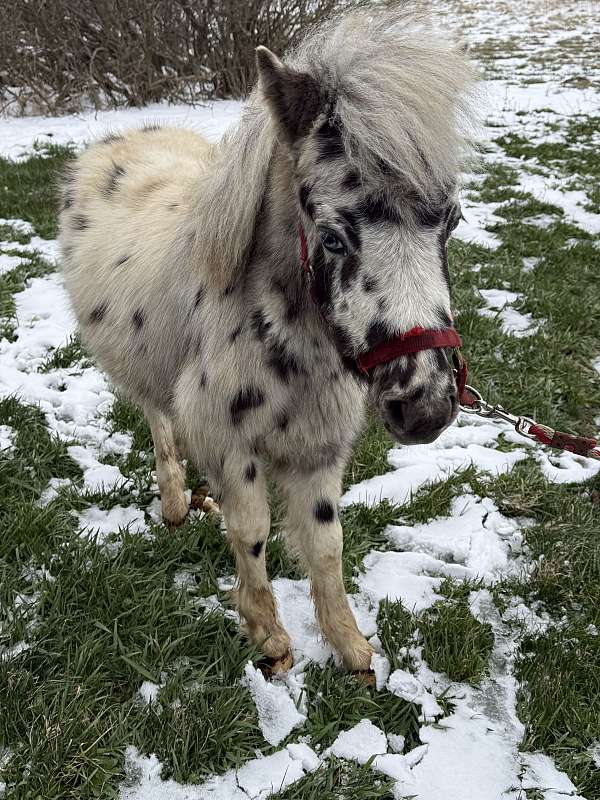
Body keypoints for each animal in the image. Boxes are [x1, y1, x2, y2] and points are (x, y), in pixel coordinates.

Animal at [58, 6, 476, 674]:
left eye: (451, 222)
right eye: (331, 237)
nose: (425, 406)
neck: (288, 342)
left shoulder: (319, 448)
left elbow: (327, 543)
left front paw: (352, 649)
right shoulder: (234, 445)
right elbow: (251, 532)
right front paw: (269, 639)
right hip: (142, 372)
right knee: (159, 421)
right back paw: (176, 504)